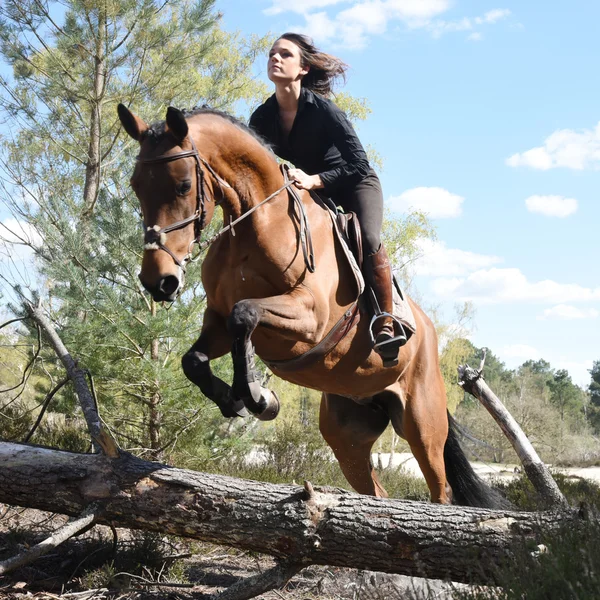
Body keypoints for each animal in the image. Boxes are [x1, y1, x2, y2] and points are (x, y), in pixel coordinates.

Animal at [116, 102, 506, 506]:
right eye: (136, 186)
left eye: (183, 185)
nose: (158, 281)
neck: (258, 221)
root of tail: (428, 332)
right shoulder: (217, 320)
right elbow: (194, 358)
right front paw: (232, 399)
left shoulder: (309, 319)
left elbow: (246, 314)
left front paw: (257, 396)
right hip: (348, 436)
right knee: (374, 488)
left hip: (422, 425)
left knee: (441, 491)